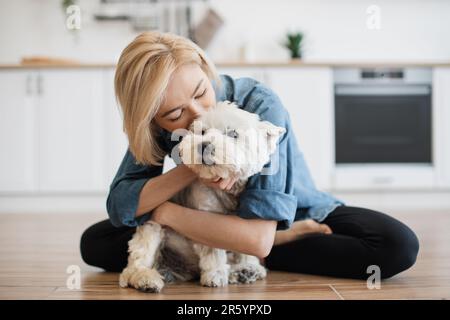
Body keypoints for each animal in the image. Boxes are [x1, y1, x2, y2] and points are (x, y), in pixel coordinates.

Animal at [118, 100, 284, 292]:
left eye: (233, 133)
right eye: (202, 132)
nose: (203, 145)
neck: (227, 193)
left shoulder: (244, 222)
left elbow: (245, 247)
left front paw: (248, 265)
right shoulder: (207, 218)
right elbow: (213, 250)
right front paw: (215, 274)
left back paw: (242, 271)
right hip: (152, 229)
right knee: (136, 262)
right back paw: (146, 279)